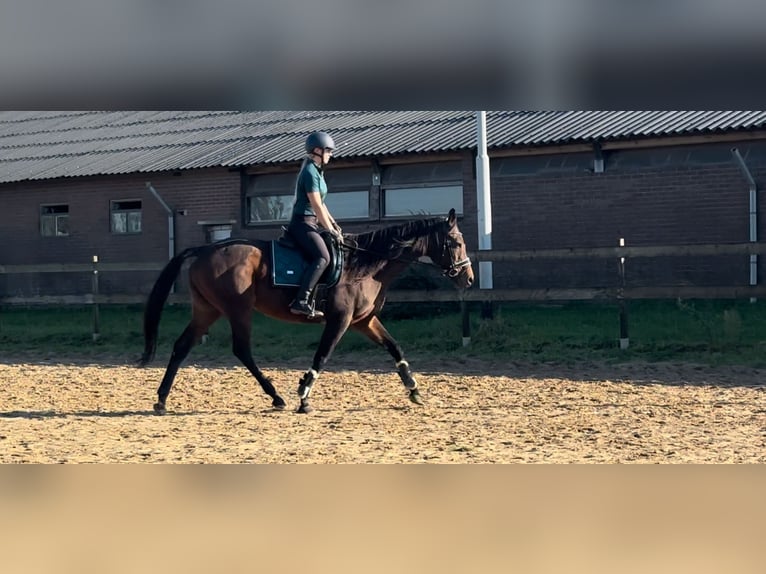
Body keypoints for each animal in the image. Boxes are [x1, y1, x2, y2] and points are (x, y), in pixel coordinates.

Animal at [138, 209, 474, 416]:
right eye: (456, 242)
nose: (468, 279)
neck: (366, 266)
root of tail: (204, 250)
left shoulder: (364, 321)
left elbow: (394, 347)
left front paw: (414, 389)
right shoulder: (340, 320)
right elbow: (322, 356)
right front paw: (304, 396)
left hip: (207, 310)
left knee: (182, 346)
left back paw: (161, 399)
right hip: (237, 309)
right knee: (241, 349)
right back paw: (276, 396)